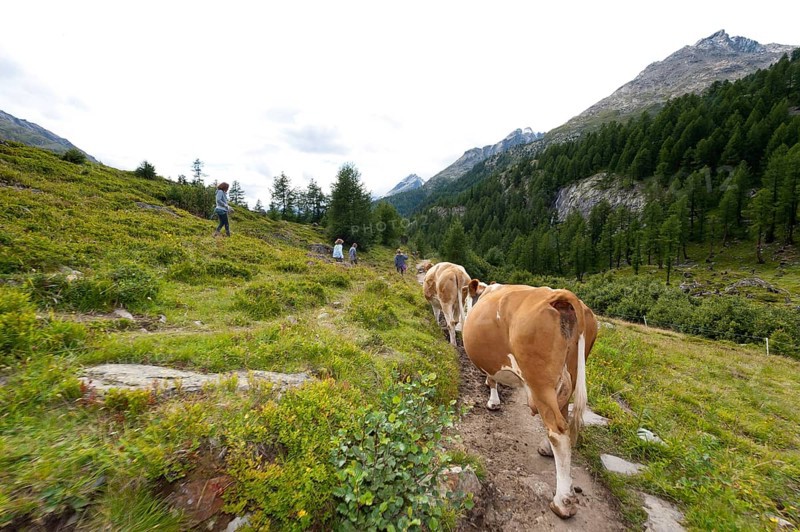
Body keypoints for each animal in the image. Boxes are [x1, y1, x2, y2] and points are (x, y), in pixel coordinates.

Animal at [462, 283, 598, 518]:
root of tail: (561, 295)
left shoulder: (492, 364)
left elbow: (492, 378)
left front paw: (493, 401)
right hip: (568, 376)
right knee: (563, 417)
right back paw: (546, 449)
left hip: (539, 382)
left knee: (558, 432)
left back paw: (563, 501)